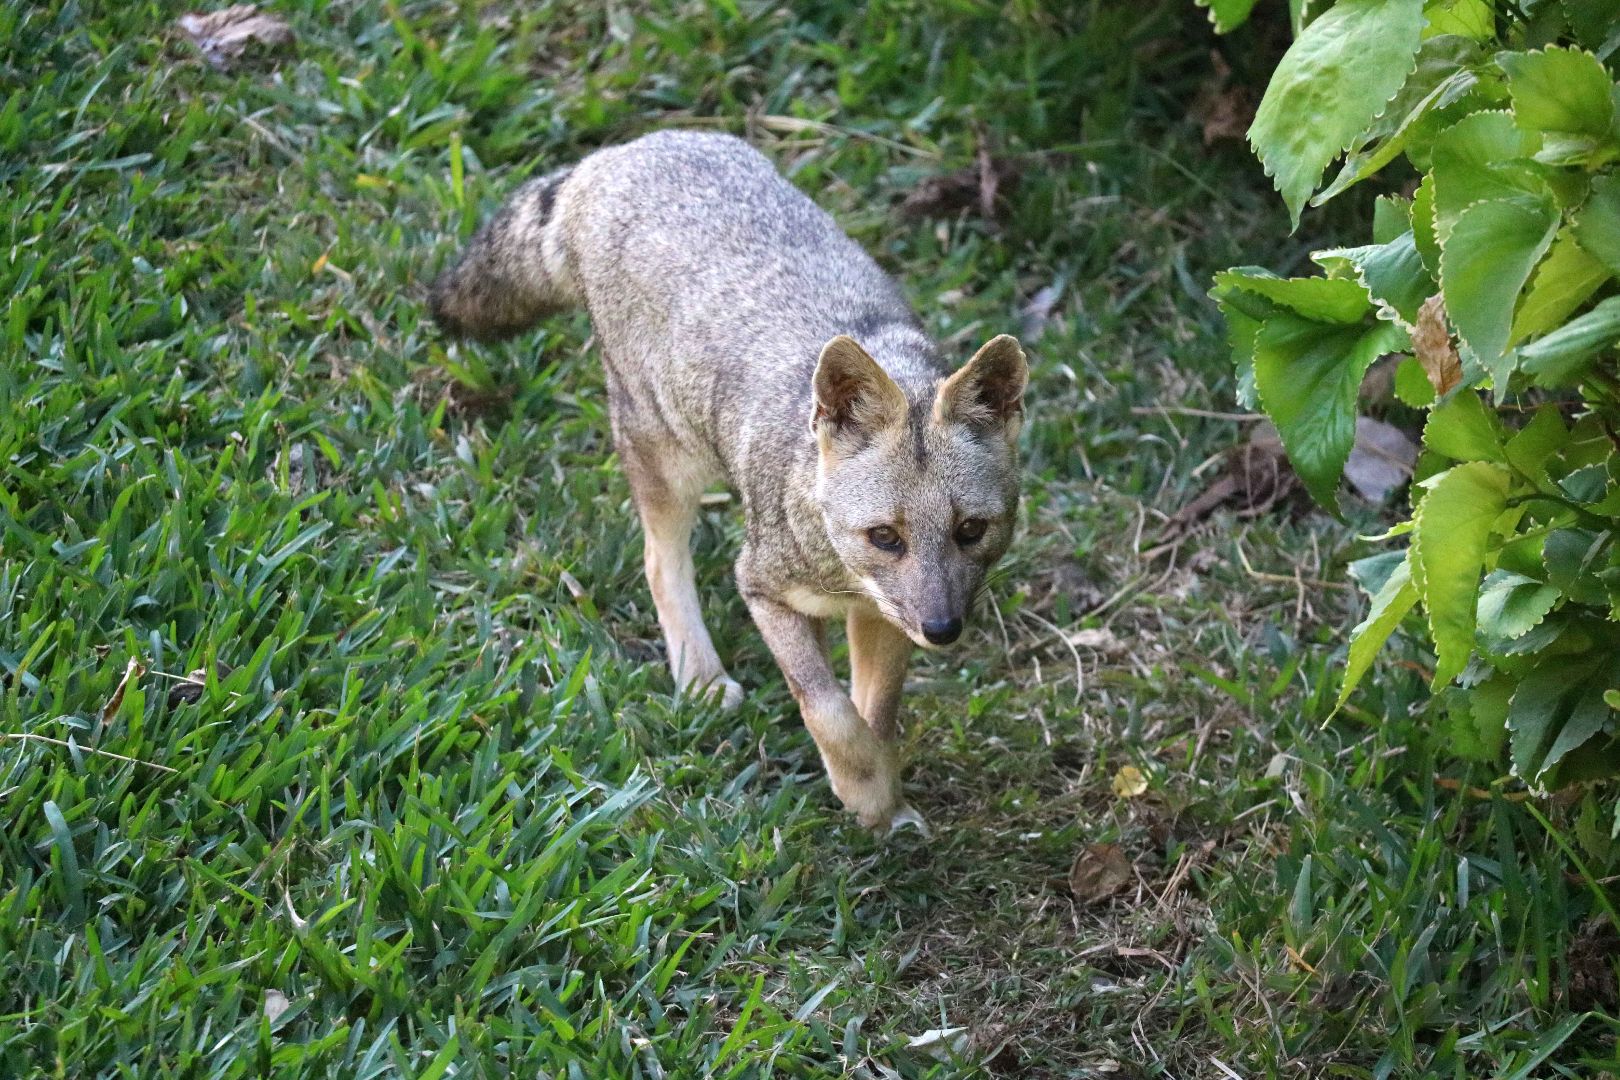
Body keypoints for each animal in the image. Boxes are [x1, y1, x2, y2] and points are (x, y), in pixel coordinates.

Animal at [429, 130, 1027, 832]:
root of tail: (612, 156)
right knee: (659, 562)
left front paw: (885, 805)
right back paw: (699, 675)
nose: (942, 630)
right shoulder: (763, 587)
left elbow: (873, 715)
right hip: (669, 459)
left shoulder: (880, 615)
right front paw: (865, 794)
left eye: (971, 531)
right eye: (885, 537)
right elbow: (829, 709)